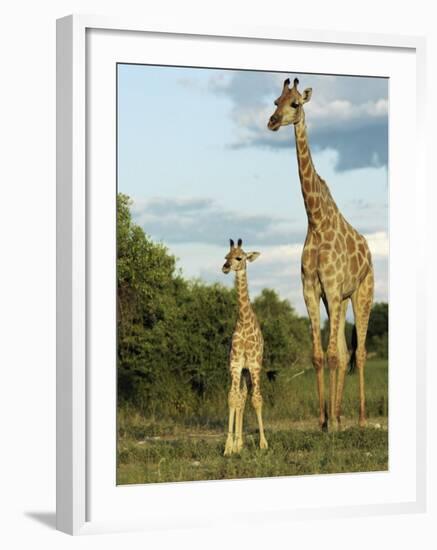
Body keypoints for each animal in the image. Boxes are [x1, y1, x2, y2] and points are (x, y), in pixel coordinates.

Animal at [268, 77, 372, 432]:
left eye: (296, 104)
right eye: (275, 101)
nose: (272, 122)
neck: (315, 220)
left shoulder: (332, 285)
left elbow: (333, 355)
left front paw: (332, 424)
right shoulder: (312, 289)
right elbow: (319, 355)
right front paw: (324, 420)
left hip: (362, 294)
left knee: (359, 352)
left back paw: (361, 418)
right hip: (338, 299)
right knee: (342, 349)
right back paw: (339, 416)